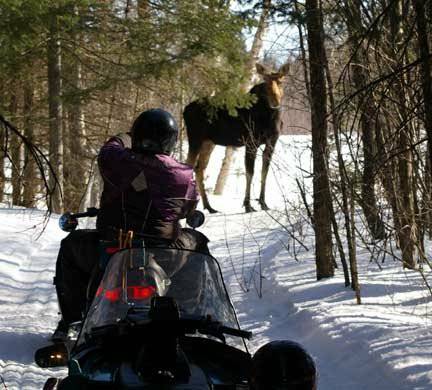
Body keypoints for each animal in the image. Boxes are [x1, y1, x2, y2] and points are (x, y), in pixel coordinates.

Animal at [183, 62, 290, 213]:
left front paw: (263, 203)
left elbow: (264, 172)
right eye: (265, 81)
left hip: (208, 142)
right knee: (188, 165)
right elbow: (250, 172)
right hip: (195, 138)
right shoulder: (251, 142)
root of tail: (185, 110)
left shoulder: (272, 142)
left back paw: (209, 206)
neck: (272, 119)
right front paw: (248, 205)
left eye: (281, 81)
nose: (275, 101)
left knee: (199, 168)